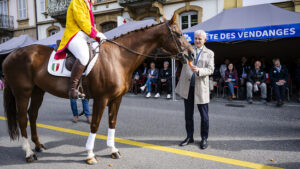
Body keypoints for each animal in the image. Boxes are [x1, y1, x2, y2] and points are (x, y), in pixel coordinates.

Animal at [2, 15, 193, 164]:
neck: (118, 58)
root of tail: (10, 56)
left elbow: (112, 122)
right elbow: (95, 124)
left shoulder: (116, 99)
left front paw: (113, 150)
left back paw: (38, 145)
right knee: (22, 119)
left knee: (32, 115)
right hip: (22, 93)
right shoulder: (101, 99)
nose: (191, 54)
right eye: (178, 34)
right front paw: (89, 154)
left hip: (38, 92)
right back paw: (29, 153)